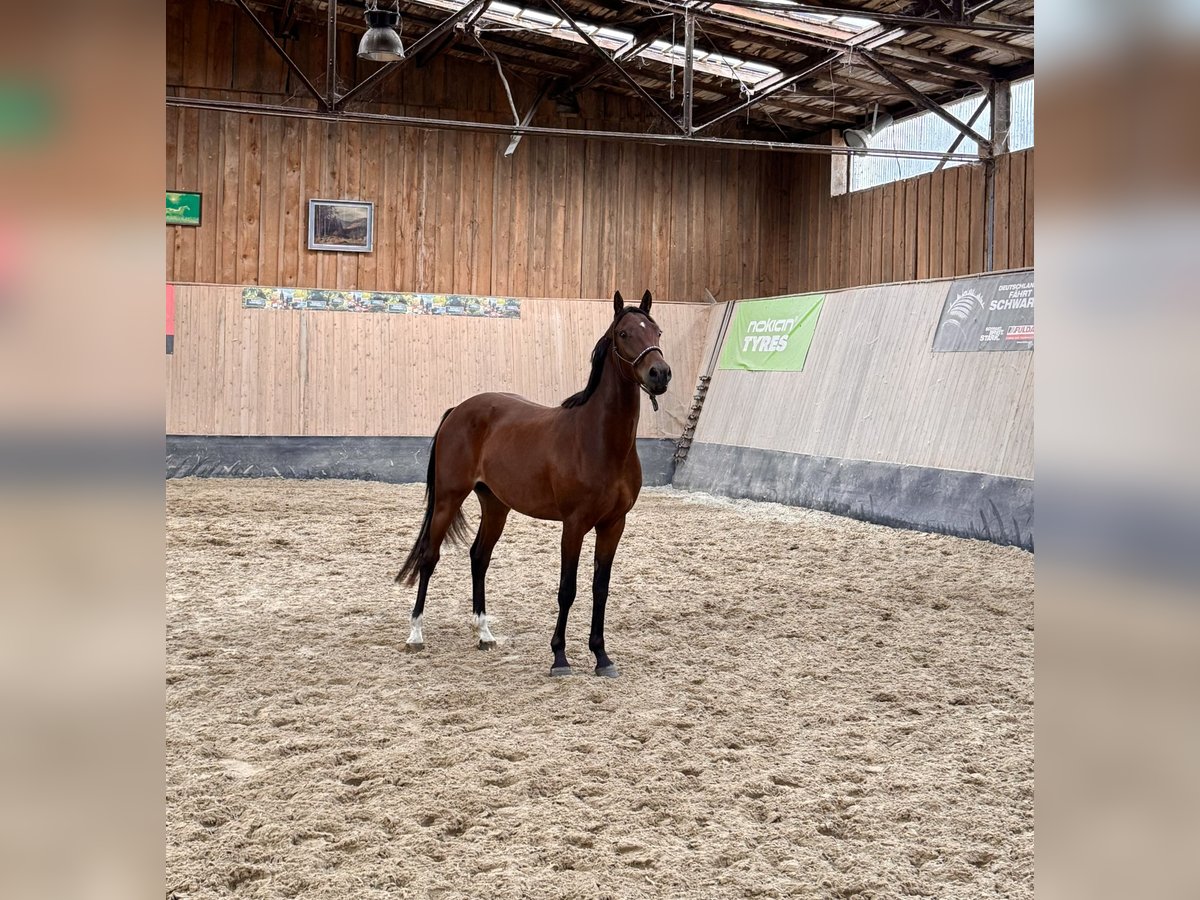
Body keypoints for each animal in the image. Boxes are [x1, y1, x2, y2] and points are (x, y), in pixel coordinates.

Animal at [398, 289, 672, 676]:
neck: (598, 440)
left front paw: (602, 657)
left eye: (657, 332)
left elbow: (600, 589)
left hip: (495, 505)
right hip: (449, 499)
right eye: (624, 334)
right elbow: (567, 589)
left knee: (479, 556)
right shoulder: (574, 525)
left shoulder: (613, 524)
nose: (660, 373)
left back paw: (484, 633)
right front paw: (559, 657)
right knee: (429, 556)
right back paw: (416, 634)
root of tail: (458, 410)